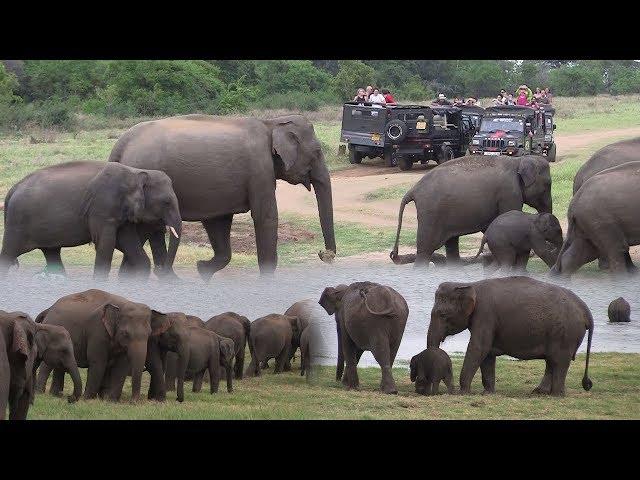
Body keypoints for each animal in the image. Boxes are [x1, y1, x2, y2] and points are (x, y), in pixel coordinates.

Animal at [0, 162, 182, 282]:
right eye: (166, 202)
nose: (163, 272)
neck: (134, 172)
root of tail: (12, 190)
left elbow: (127, 241)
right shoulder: (102, 207)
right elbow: (106, 243)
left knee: (52, 252)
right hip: (18, 223)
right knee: (8, 254)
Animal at [36, 288, 171, 402]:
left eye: (149, 334)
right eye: (125, 334)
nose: (133, 402)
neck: (122, 304)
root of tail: (48, 310)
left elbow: (121, 366)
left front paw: (110, 400)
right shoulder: (98, 331)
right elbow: (98, 362)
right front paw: (88, 399)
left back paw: (56, 395)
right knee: (47, 365)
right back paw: (41, 393)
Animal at [109, 114, 340, 280]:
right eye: (317, 152)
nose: (324, 254)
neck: (271, 123)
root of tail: (121, 145)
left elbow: (218, 224)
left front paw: (202, 270)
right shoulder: (260, 170)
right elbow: (265, 217)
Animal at [388, 156, 552, 266]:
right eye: (548, 184)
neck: (519, 160)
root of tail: (413, 190)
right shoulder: (509, 193)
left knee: (451, 244)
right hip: (431, 213)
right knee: (426, 249)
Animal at [428, 276, 592, 396]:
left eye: (442, 315)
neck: (469, 285)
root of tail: (586, 310)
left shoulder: (485, 315)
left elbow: (479, 347)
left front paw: (463, 393)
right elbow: (487, 354)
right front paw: (487, 393)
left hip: (566, 333)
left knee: (559, 361)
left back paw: (556, 395)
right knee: (551, 361)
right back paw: (540, 392)